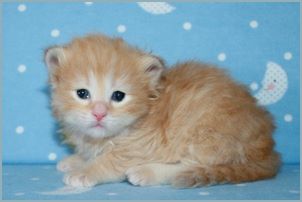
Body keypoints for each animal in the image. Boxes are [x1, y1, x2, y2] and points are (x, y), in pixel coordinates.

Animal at [43, 33, 280, 188]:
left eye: (118, 96)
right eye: (82, 93)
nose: (99, 113)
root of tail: (268, 151)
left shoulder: (142, 146)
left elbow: (110, 161)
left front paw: (85, 171)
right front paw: (77, 160)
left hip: (208, 132)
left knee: (190, 165)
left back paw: (146, 172)